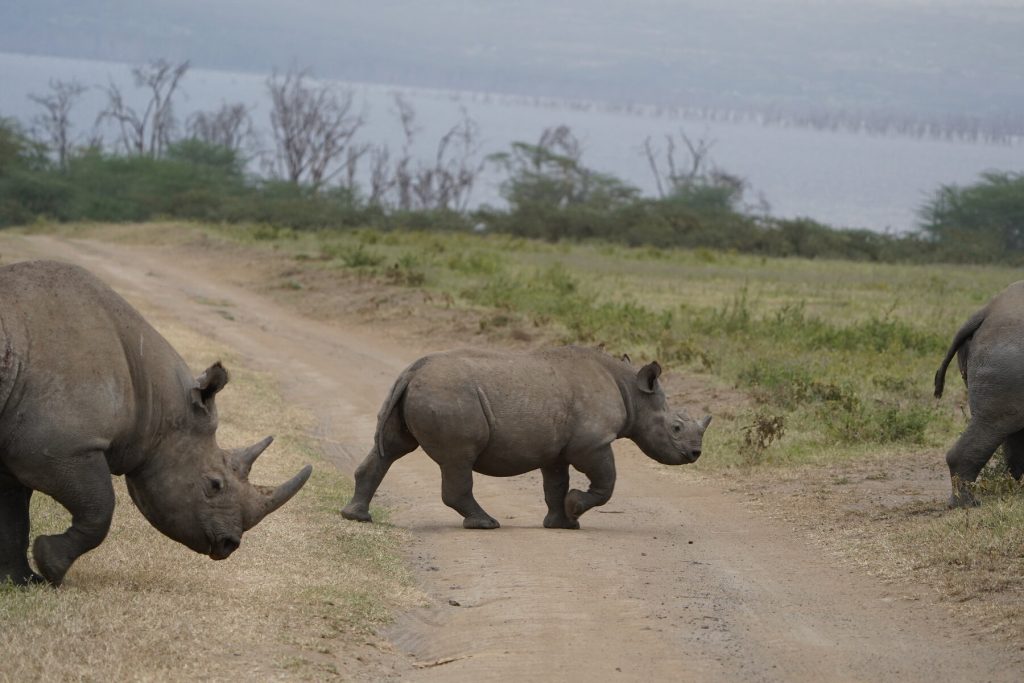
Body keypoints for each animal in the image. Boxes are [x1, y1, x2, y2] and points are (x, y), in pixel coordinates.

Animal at [1, 262, 311, 589]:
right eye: (214, 484)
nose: (229, 544)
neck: (153, 401)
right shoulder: (61, 447)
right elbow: (99, 509)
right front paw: (51, 567)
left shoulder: (23, 448)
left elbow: (12, 518)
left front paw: (21, 581)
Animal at [344, 348, 712, 528]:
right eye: (676, 428)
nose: (695, 453)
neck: (633, 393)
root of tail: (411, 372)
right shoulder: (592, 443)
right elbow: (606, 483)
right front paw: (576, 510)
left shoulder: (557, 449)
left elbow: (555, 485)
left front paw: (562, 523)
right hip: (449, 396)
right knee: (458, 459)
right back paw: (486, 524)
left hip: (416, 393)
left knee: (391, 449)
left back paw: (356, 517)